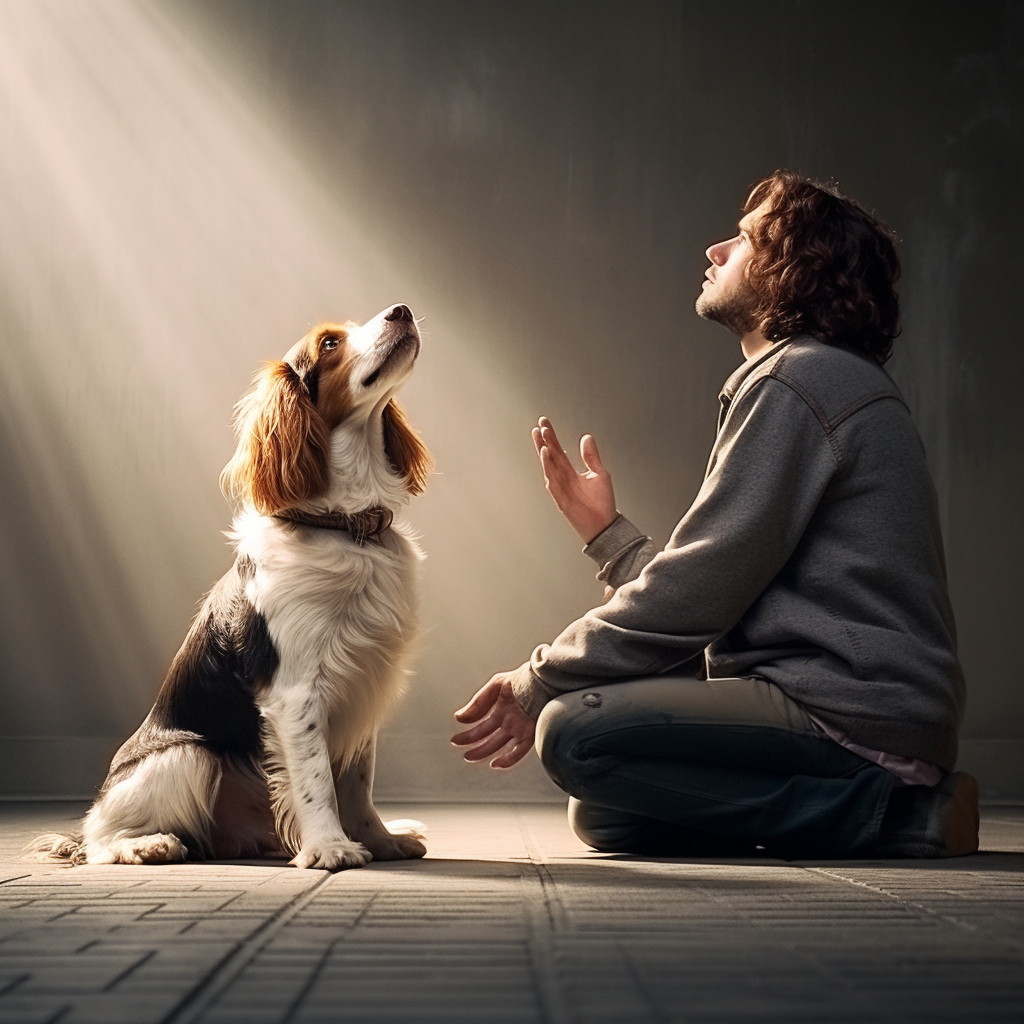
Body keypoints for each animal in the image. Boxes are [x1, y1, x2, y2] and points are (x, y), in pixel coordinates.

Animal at [24, 299, 432, 868]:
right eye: (330, 344)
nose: (403, 309)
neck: (344, 526)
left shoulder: (363, 682)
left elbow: (356, 781)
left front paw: (379, 838)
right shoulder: (296, 691)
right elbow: (317, 781)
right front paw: (330, 847)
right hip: (190, 754)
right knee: (98, 842)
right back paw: (148, 844)